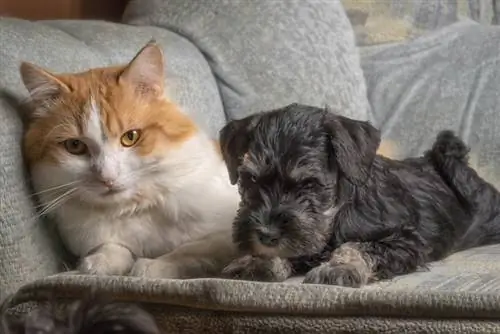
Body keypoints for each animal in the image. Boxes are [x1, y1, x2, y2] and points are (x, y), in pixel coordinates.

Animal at [17, 41, 240, 276]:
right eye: (75, 146)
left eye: (130, 137)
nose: (107, 178)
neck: (132, 209)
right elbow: (114, 248)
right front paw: (97, 263)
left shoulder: (228, 231)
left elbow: (190, 250)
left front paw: (151, 267)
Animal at [220, 103, 500, 286]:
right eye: (250, 179)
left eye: (309, 184)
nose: (266, 235)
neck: (336, 212)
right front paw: (255, 261)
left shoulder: (406, 240)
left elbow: (358, 245)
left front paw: (339, 266)